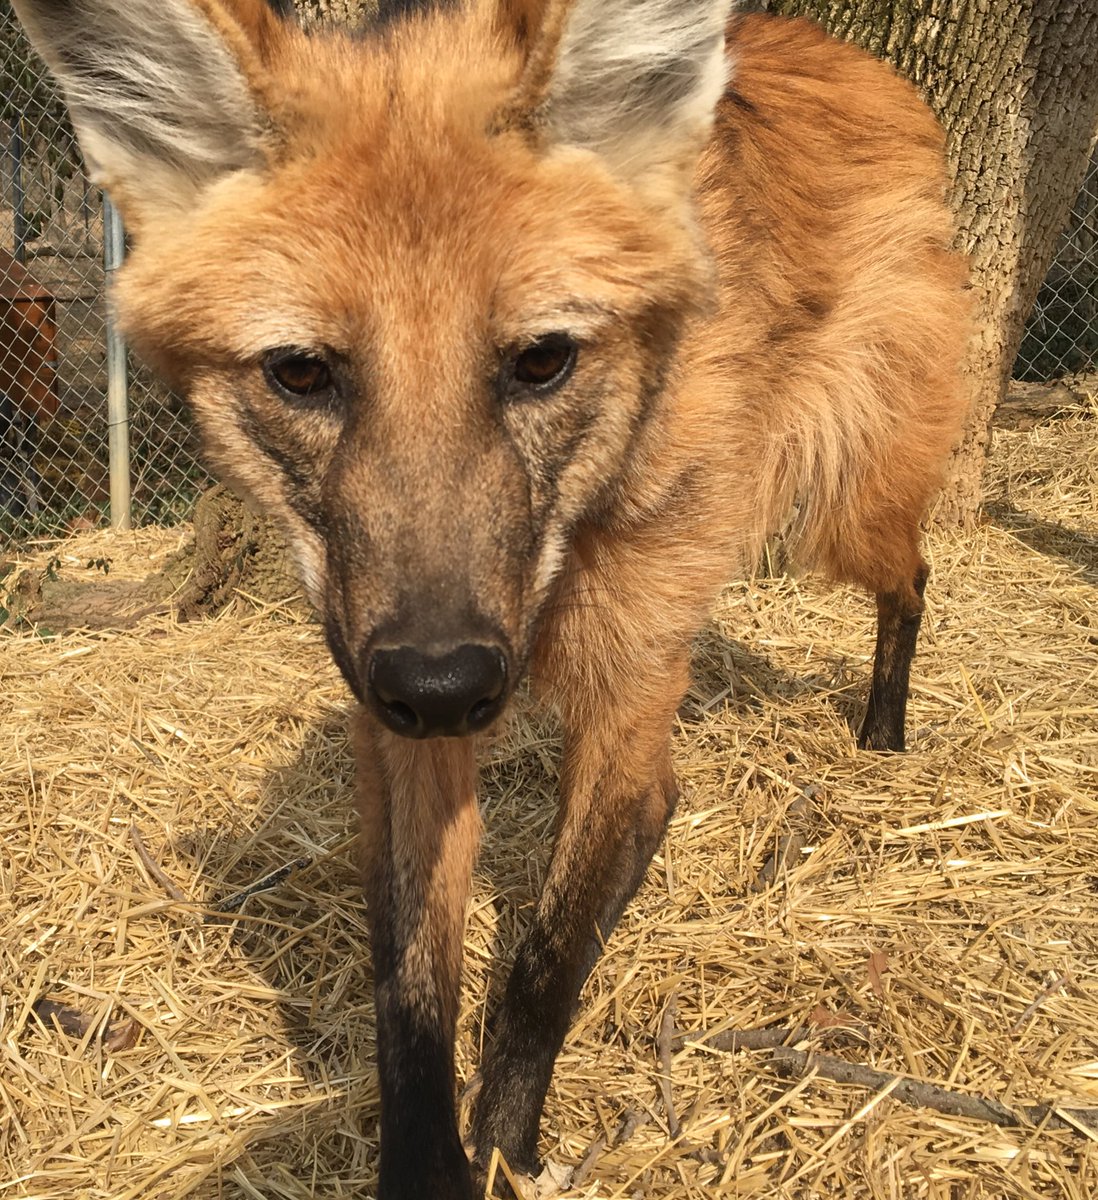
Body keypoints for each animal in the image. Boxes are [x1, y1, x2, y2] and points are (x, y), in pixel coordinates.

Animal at [12, 0, 971, 1194]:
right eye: (302, 374)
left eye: (541, 360)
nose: (442, 685)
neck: (555, 559)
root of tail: (843, 55)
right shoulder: (400, 721)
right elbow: (412, 995)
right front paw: (434, 1160)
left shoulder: (622, 694)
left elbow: (543, 963)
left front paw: (507, 1146)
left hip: (840, 504)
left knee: (912, 578)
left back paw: (884, 731)